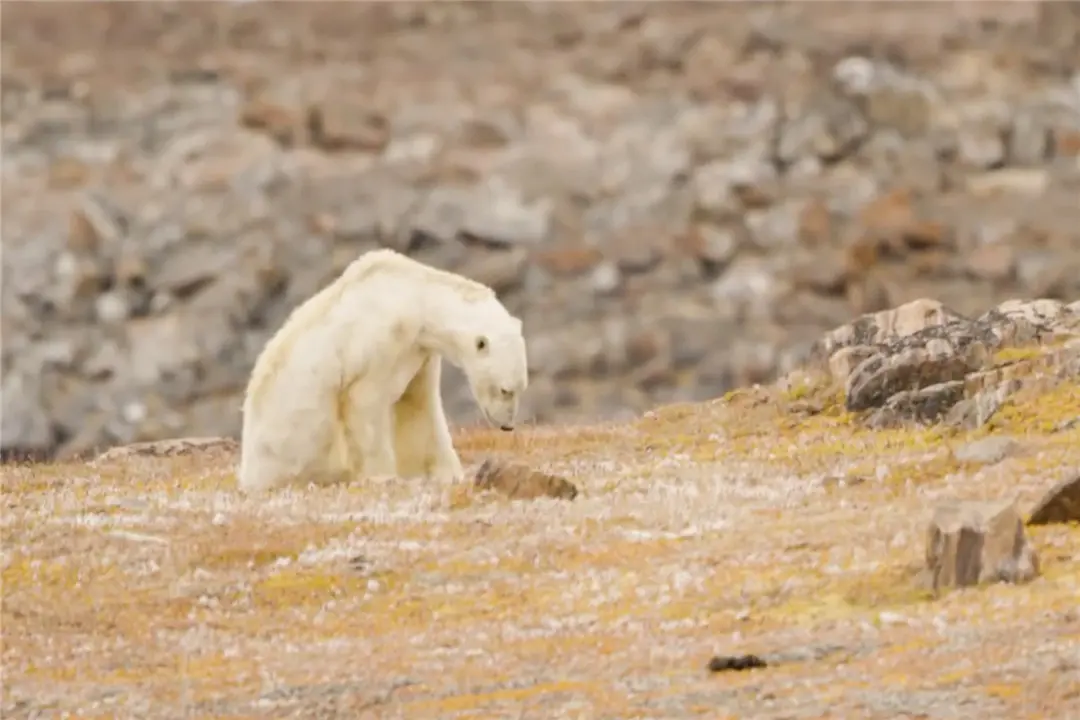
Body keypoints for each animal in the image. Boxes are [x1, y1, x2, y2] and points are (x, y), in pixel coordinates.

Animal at [243, 249, 533, 496]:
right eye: (505, 390)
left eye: (521, 388)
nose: (507, 425)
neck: (413, 296)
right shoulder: (379, 340)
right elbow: (365, 403)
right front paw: (384, 477)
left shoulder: (418, 351)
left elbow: (418, 406)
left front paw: (447, 474)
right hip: (291, 445)